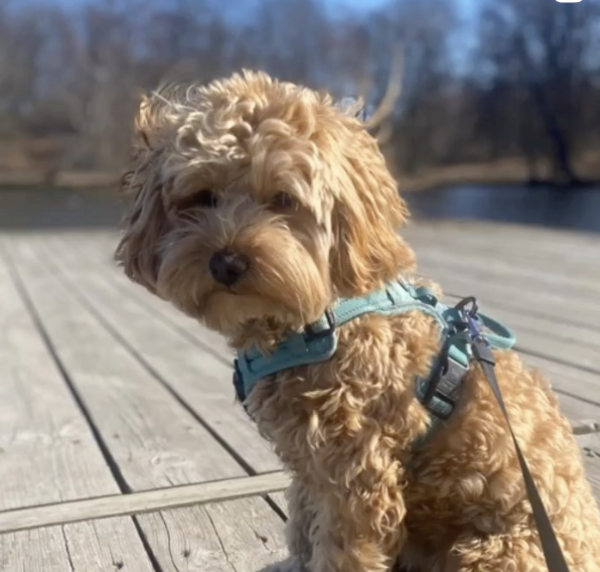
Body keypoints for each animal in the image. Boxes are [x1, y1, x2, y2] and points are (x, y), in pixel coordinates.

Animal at [116, 71, 600, 572]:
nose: (226, 262)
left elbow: (341, 549)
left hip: (494, 551)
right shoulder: (310, 467)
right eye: (201, 196)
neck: (316, 323)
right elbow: (302, 526)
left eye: (283, 199)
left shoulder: (358, 472)